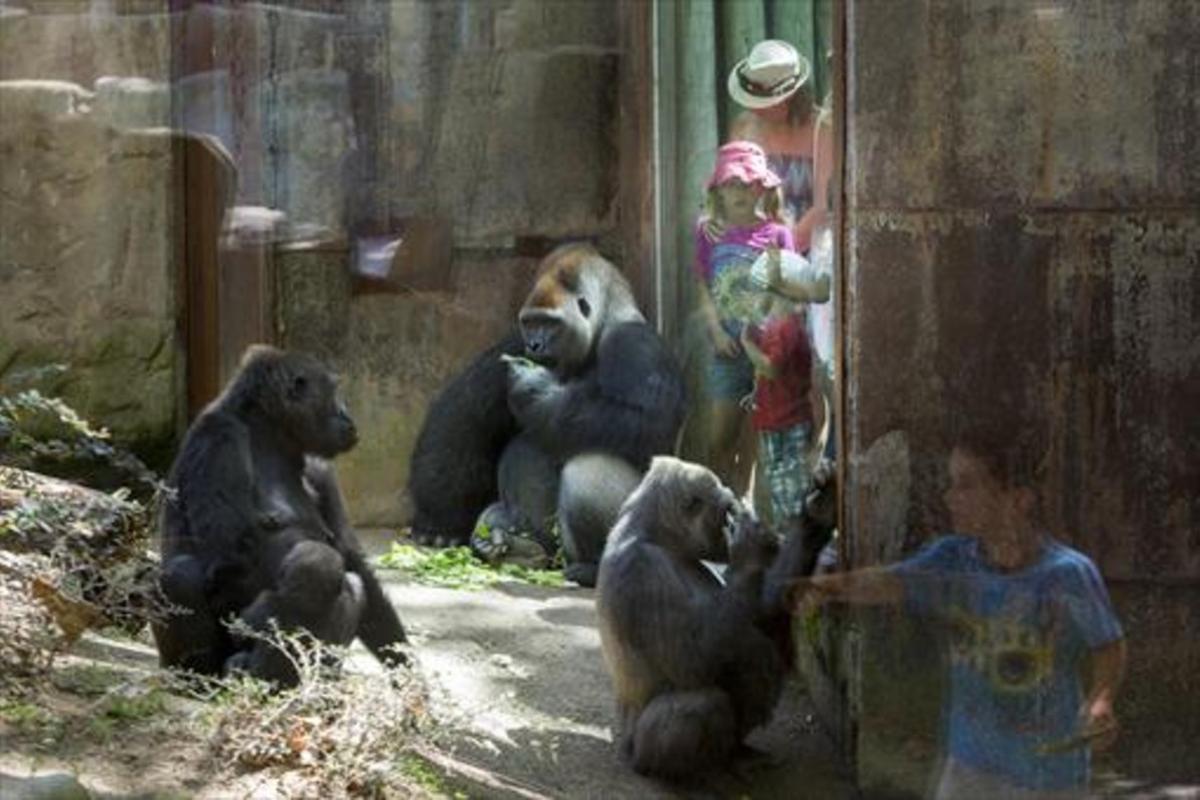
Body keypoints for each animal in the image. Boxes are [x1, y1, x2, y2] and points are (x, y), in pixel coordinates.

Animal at [152, 347, 408, 686]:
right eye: (334, 392)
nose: (347, 416)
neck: (269, 435)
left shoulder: (321, 467)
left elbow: (352, 563)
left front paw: (407, 671)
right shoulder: (218, 437)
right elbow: (231, 558)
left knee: (351, 585)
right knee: (180, 574)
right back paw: (200, 677)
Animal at [408, 241, 686, 585]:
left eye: (551, 323)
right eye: (530, 322)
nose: (536, 345)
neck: (602, 326)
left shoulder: (635, 342)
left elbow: (645, 423)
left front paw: (534, 389)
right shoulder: (514, 343)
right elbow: (466, 412)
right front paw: (439, 519)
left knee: (588, 470)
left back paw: (592, 567)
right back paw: (517, 545)